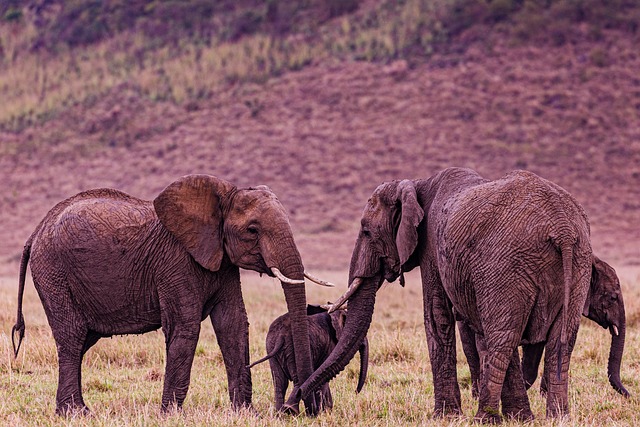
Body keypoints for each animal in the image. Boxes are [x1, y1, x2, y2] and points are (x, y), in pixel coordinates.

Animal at [11, 174, 330, 414]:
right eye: (252, 230)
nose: (303, 408)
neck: (220, 199)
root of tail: (35, 232)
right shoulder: (176, 262)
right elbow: (184, 327)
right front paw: (171, 414)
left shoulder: (222, 260)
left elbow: (233, 324)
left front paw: (244, 413)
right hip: (54, 273)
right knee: (72, 337)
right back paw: (75, 413)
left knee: (82, 341)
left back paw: (76, 411)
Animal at [282, 166, 592, 422]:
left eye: (366, 231)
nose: (290, 407)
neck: (417, 184)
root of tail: (562, 230)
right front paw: (520, 419)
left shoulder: (432, 247)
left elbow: (437, 315)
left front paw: (445, 417)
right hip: (578, 263)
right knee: (561, 339)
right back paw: (558, 418)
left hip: (510, 264)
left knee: (503, 338)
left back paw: (484, 419)